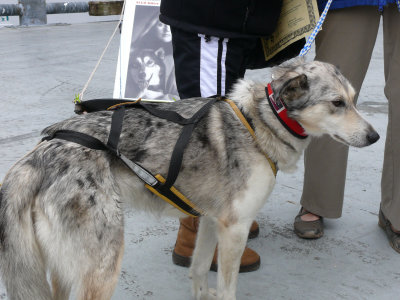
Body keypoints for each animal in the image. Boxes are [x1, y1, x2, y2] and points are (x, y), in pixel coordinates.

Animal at [0, 57, 380, 298]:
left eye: (354, 100)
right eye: (337, 103)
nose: (375, 136)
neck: (262, 120)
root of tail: (36, 156)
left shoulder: (212, 221)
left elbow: (197, 271)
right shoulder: (235, 228)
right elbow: (227, 290)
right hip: (100, 269)